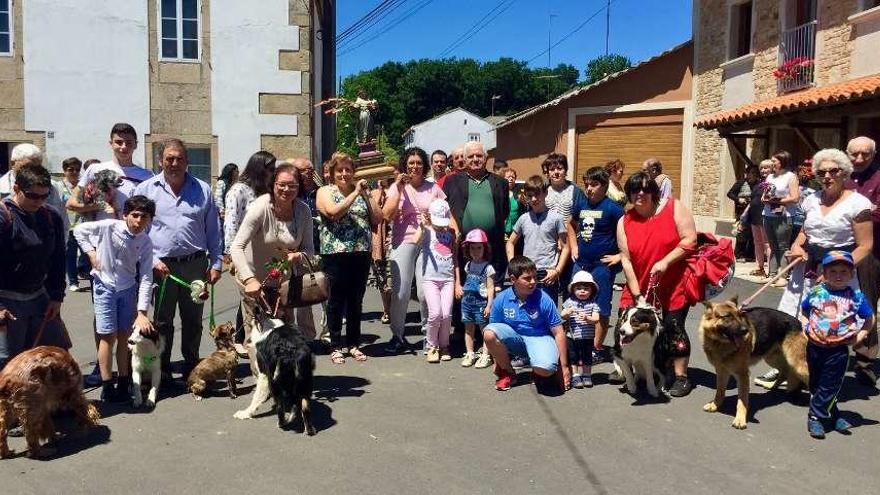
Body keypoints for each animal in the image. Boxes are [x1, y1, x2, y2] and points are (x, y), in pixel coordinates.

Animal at [696, 298, 808, 430]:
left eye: (739, 315)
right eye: (727, 316)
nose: (745, 331)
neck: (720, 343)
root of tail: (798, 322)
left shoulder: (742, 375)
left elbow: (742, 400)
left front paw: (740, 419)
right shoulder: (722, 371)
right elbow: (720, 391)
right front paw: (715, 405)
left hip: (797, 364)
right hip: (771, 357)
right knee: (784, 371)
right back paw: (771, 386)